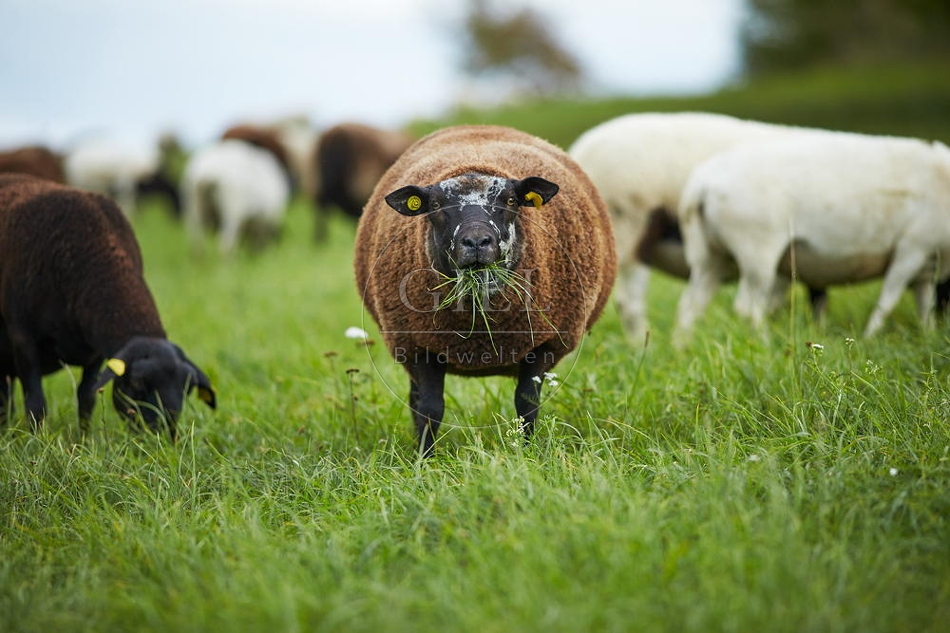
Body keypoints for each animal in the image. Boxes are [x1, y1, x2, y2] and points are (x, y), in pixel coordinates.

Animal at [0, 173, 216, 436]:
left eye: (187, 388)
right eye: (136, 383)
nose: (163, 437)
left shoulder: (95, 352)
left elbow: (86, 397)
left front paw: (84, 438)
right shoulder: (23, 337)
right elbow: (36, 403)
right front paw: (36, 439)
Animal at [355, 124, 616, 455]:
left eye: (511, 201)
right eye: (436, 206)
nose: (477, 241)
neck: (480, 331)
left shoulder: (542, 344)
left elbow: (526, 404)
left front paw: (527, 453)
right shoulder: (419, 346)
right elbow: (429, 408)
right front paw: (424, 459)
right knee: (416, 399)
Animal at [673, 133, 950, 342]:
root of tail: (701, 183)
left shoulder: (927, 265)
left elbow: (925, 306)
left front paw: (928, 338)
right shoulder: (913, 247)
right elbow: (888, 301)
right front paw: (869, 339)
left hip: (711, 256)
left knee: (691, 304)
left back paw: (682, 347)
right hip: (756, 249)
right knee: (747, 307)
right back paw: (764, 343)